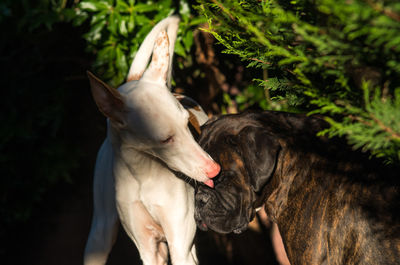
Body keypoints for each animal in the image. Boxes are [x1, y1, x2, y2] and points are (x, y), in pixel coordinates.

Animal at [83, 15, 220, 262]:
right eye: (165, 139)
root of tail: (132, 80)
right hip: (99, 234)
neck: (143, 173)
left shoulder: (181, 249)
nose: (215, 170)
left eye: (186, 123)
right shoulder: (149, 250)